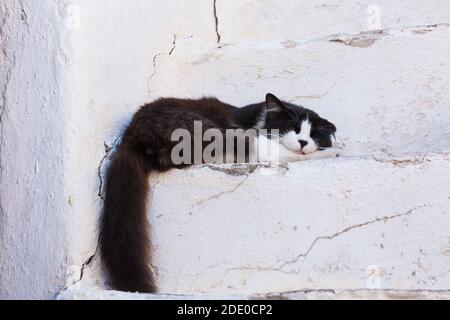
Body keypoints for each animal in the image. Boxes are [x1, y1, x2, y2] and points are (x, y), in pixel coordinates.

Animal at [98, 92, 338, 292]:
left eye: (314, 134)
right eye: (292, 128)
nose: (304, 142)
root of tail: (132, 134)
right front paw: (332, 148)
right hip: (209, 131)